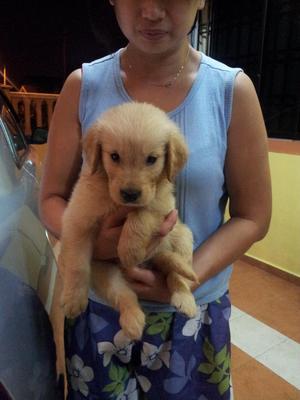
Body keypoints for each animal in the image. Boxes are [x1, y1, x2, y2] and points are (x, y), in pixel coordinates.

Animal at [59, 101, 198, 340]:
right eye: (114, 156)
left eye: (151, 159)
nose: (130, 194)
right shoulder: (77, 220)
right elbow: (77, 266)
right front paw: (74, 298)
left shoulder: (163, 206)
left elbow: (141, 214)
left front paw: (129, 249)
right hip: (105, 272)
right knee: (125, 296)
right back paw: (133, 320)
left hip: (181, 235)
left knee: (177, 272)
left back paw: (185, 298)